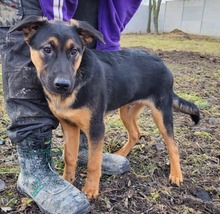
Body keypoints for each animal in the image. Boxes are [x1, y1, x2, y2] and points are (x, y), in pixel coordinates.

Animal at [9, 15, 200, 198]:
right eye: (47, 49)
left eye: (74, 51)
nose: (63, 85)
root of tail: (163, 63)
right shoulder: (69, 125)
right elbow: (70, 156)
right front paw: (67, 180)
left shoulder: (96, 128)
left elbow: (94, 163)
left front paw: (91, 190)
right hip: (127, 110)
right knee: (136, 133)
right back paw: (121, 154)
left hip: (161, 112)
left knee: (173, 145)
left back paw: (176, 175)